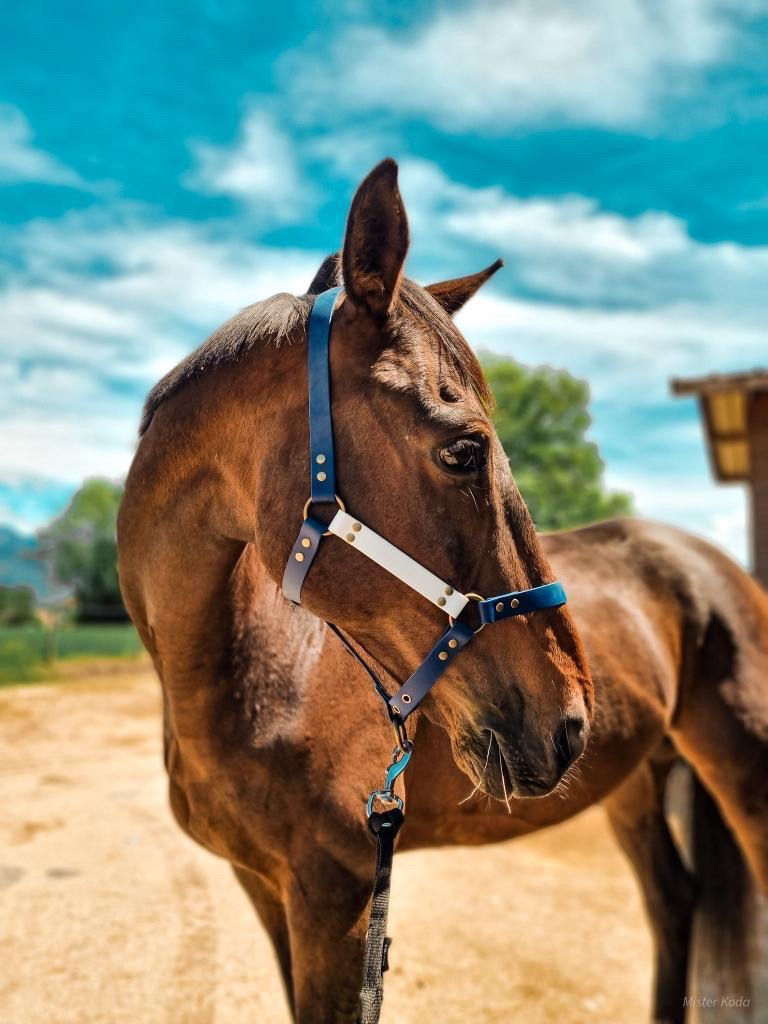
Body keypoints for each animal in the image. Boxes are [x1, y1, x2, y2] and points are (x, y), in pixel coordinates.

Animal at [117, 159, 768, 1023]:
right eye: (463, 450)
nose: (569, 721)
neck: (247, 673)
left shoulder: (334, 899)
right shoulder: (266, 890)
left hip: (742, 767)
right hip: (634, 778)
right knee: (673, 900)